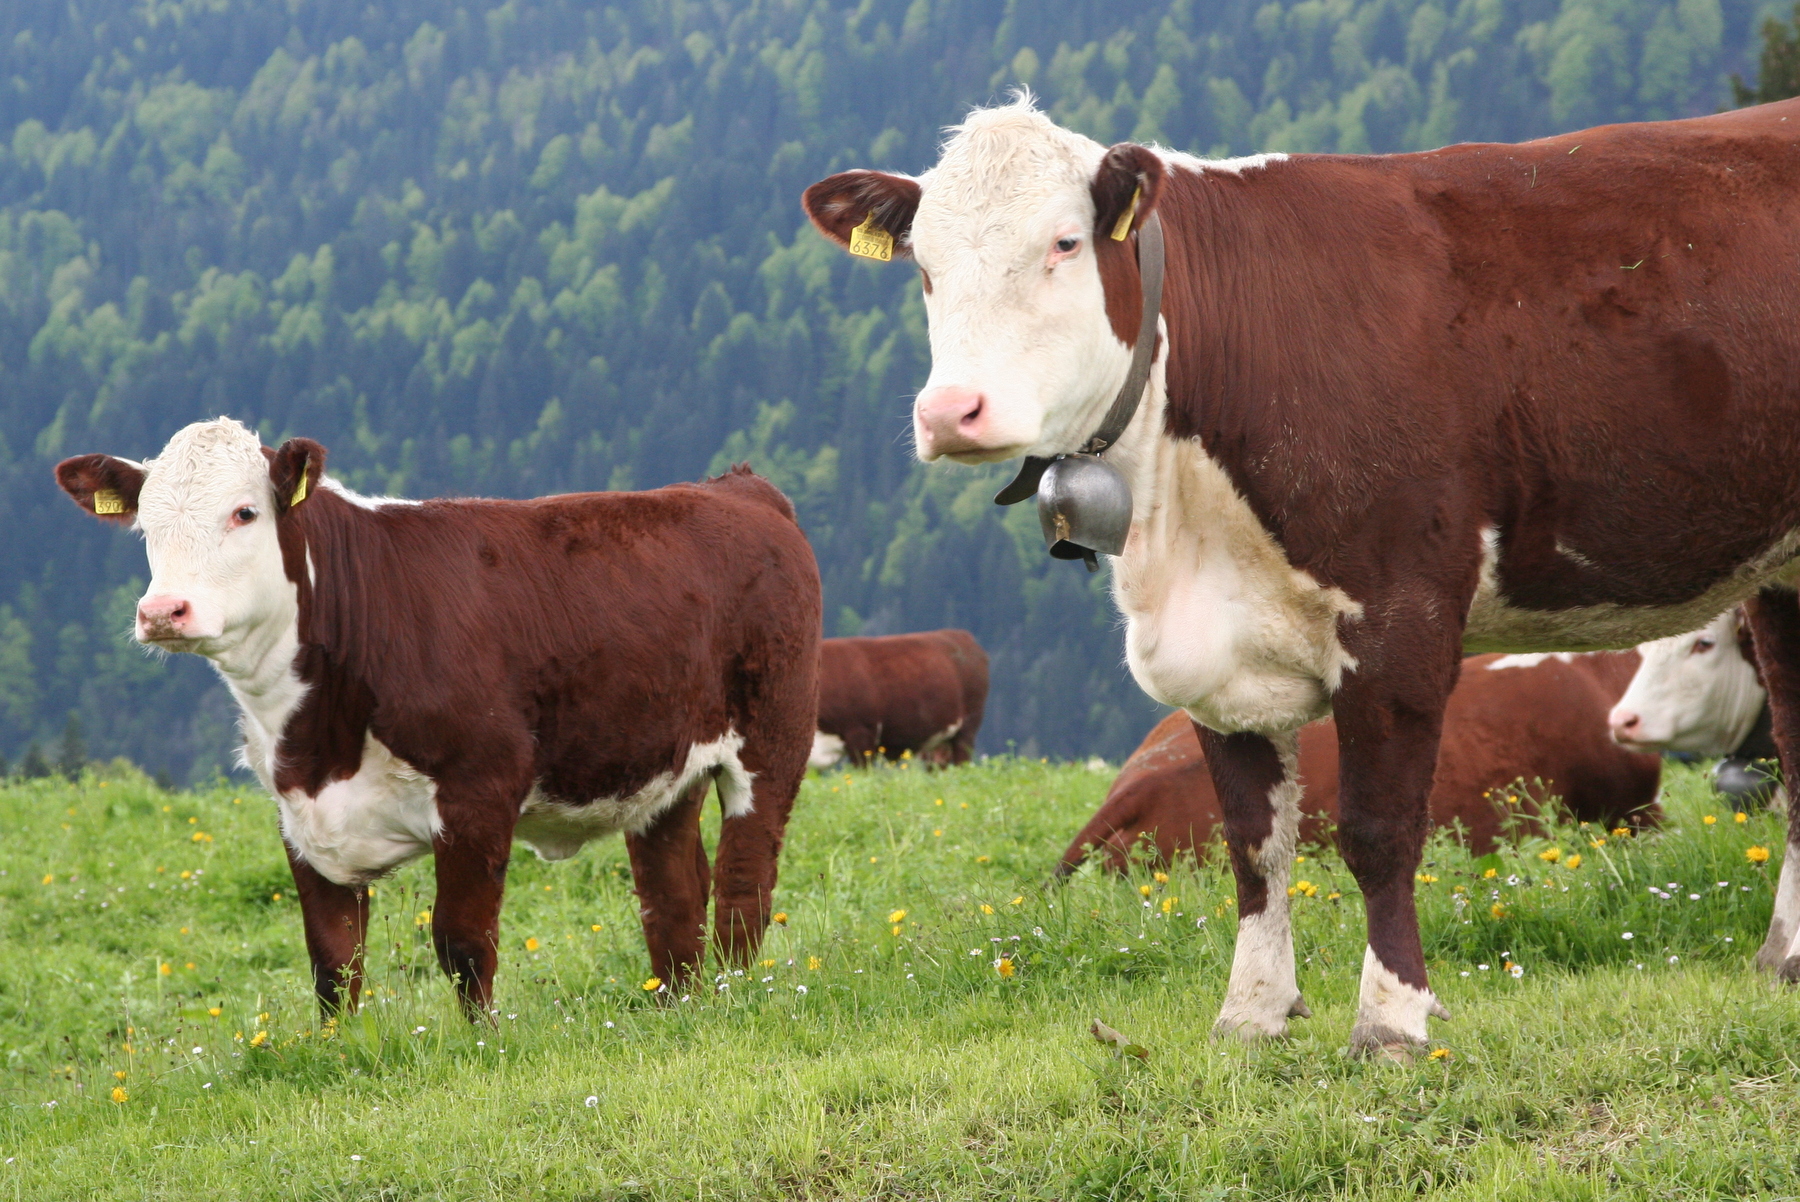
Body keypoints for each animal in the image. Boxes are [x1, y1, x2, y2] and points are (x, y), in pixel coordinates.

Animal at [52, 417, 820, 1022]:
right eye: (146, 525)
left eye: (245, 513)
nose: (163, 611)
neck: (317, 738)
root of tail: (735, 487)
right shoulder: (297, 814)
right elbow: (332, 958)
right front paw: (337, 1047)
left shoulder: (481, 785)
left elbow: (462, 941)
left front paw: (483, 1041)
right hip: (661, 762)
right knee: (672, 893)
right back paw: (681, 1005)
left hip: (774, 734)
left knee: (744, 882)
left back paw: (738, 993)